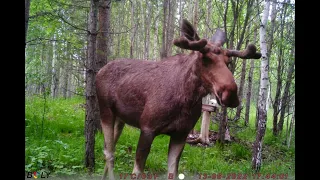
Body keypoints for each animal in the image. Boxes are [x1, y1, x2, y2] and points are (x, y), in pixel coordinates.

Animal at [95, 19, 260, 179]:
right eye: (204, 58)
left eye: (228, 62)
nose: (230, 94)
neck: (186, 101)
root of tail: (100, 71)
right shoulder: (147, 128)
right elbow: (136, 172)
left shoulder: (181, 134)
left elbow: (173, 172)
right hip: (105, 111)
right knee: (109, 153)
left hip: (121, 118)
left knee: (111, 147)